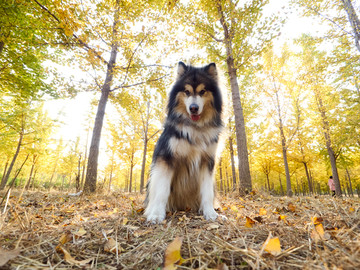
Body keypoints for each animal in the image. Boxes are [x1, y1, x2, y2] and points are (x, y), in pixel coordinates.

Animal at [144, 61, 224, 224]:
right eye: (187, 92)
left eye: (202, 91)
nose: (193, 108)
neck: (195, 128)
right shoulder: (166, 159)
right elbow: (162, 190)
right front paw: (156, 215)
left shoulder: (207, 161)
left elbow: (207, 192)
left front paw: (210, 213)